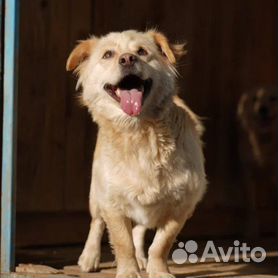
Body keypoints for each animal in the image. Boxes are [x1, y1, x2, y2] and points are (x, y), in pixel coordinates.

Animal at [67, 29, 206, 278]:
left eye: (141, 52)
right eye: (108, 54)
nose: (127, 59)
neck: (140, 132)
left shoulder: (181, 206)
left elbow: (161, 244)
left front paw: (158, 271)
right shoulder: (112, 202)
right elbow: (123, 243)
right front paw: (128, 272)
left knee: (140, 229)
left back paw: (142, 259)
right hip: (96, 195)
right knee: (96, 223)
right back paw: (89, 257)